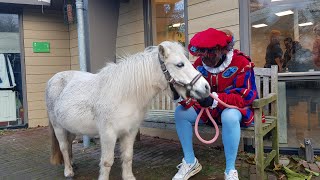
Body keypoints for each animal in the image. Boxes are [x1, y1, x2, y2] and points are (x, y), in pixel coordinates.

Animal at [45, 41, 210, 179]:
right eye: (180, 64)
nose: (206, 87)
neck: (124, 95)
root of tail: (53, 79)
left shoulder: (130, 131)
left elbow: (128, 156)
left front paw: (128, 176)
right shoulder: (108, 134)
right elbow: (107, 161)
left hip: (70, 128)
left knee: (69, 145)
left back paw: (72, 165)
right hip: (58, 127)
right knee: (64, 147)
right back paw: (68, 171)